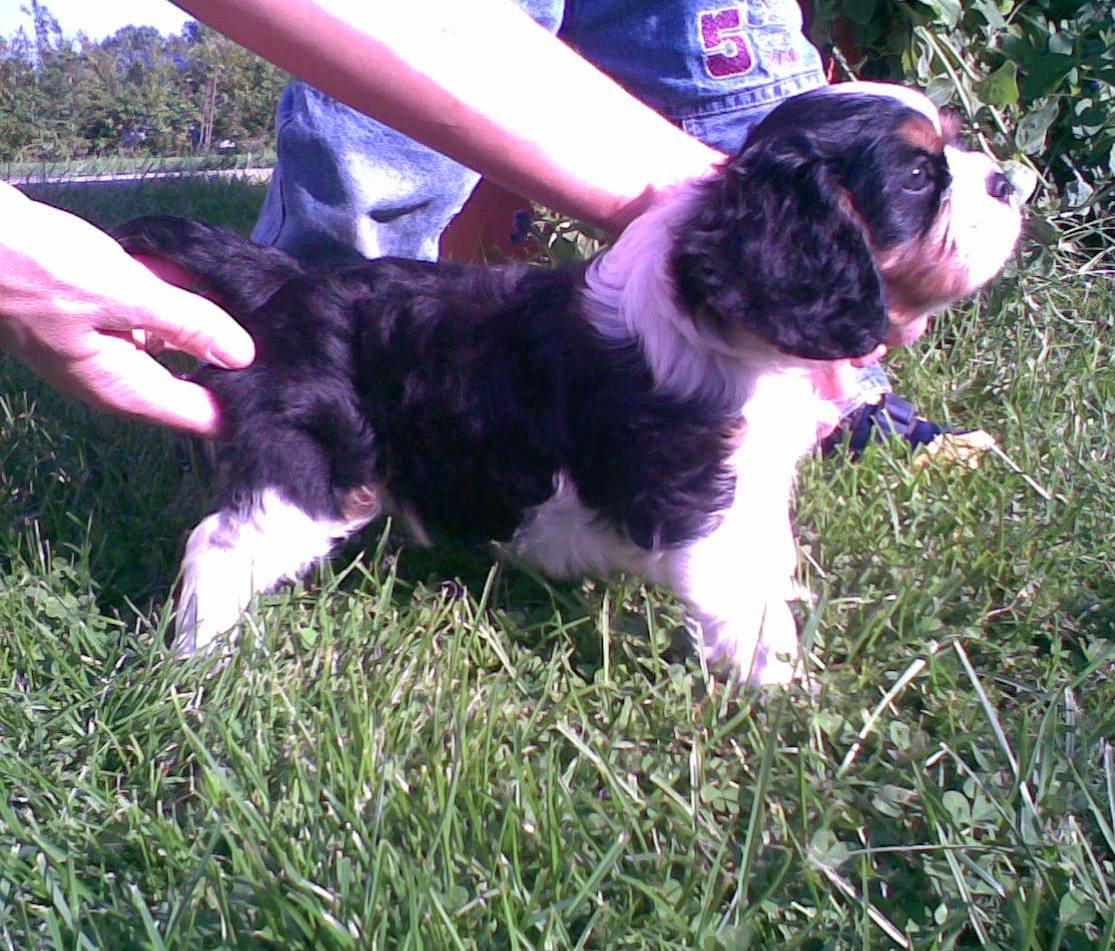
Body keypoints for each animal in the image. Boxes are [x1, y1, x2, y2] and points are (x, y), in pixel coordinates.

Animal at [117, 83, 1021, 682]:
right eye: (918, 177)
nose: (1010, 180)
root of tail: (285, 281)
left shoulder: (756, 481)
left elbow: (768, 559)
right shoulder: (701, 494)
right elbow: (739, 595)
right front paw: (777, 690)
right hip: (312, 466)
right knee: (218, 544)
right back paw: (203, 660)